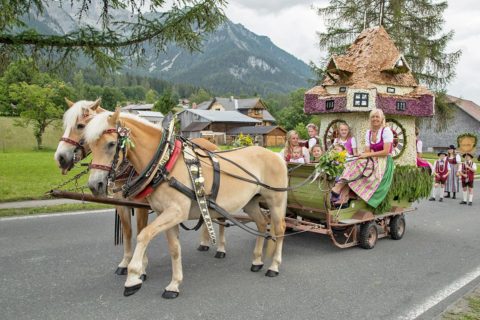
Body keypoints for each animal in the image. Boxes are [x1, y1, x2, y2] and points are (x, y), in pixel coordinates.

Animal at [53, 100, 226, 280]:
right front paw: (125, 262)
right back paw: (205, 242)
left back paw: (221, 248)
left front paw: (141, 267)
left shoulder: (141, 205)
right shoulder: (121, 204)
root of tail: (211, 143)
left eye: (80, 126)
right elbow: (128, 232)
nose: (60, 158)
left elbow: (141, 231)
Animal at [85, 109, 288, 298]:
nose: (95, 185)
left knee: (279, 229)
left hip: (276, 201)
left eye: (111, 144)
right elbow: (174, 249)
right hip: (251, 203)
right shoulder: (165, 214)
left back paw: (273, 266)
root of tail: (277, 156)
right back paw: (257, 261)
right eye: (90, 145)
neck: (165, 163)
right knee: (261, 223)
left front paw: (133, 276)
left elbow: (144, 235)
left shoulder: (175, 212)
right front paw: (174, 285)